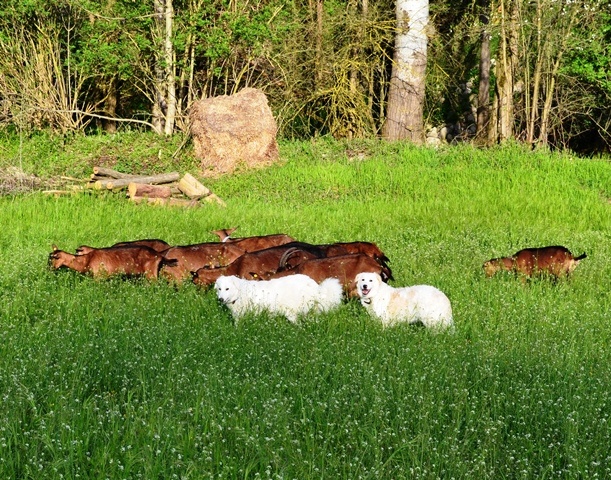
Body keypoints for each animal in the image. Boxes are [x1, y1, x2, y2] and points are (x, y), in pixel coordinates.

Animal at [215, 274, 344, 322]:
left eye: (227, 289)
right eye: (219, 289)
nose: (220, 299)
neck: (241, 292)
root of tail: (314, 286)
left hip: (292, 312)